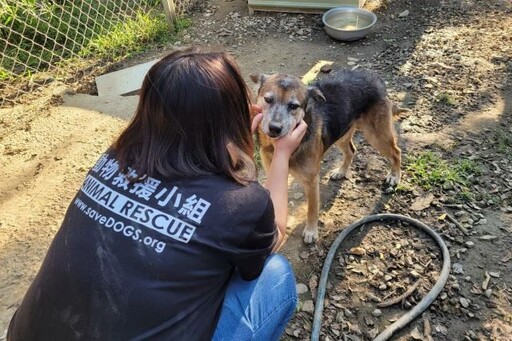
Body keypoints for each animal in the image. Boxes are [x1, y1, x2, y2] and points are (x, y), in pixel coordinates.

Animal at [251, 68, 408, 242]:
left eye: (293, 106)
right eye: (268, 99)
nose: (274, 128)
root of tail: (376, 79)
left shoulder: (312, 180)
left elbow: (312, 208)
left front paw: (311, 231)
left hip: (376, 136)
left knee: (396, 152)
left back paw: (394, 176)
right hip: (343, 133)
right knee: (351, 150)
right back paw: (341, 172)